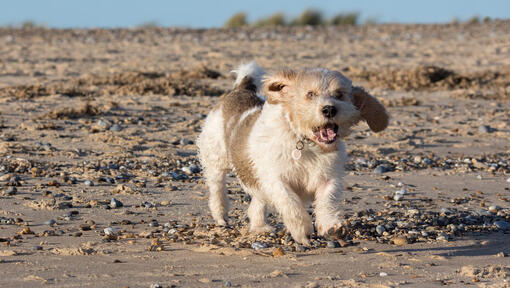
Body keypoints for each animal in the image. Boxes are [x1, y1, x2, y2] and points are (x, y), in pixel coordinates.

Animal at [197, 62, 388, 244]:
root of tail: (240, 89)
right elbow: (290, 204)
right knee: (217, 189)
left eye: (340, 94)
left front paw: (331, 225)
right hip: (216, 162)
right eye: (310, 94)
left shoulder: (328, 178)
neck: (307, 144)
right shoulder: (277, 181)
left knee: (257, 202)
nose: (329, 109)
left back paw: (260, 227)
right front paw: (302, 230)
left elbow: (328, 200)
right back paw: (221, 216)